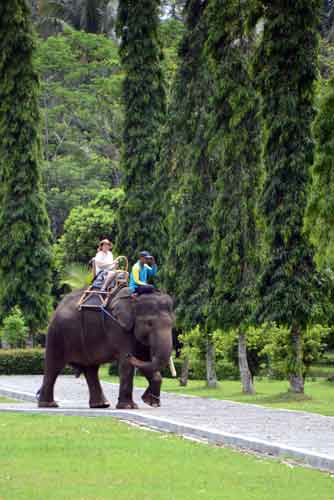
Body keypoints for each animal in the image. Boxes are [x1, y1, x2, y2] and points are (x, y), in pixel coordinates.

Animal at [38, 288, 175, 408]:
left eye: (172, 324)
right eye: (149, 323)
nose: (130, 355)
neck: (134, 299)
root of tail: (58, 307)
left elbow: (145, 361)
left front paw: (151, 402)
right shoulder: (119, 327)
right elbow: (127, 365)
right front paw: (129, 407)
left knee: (91, 369)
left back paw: (100, 405)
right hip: (57, 334)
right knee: (53, 366)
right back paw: (49, 405)